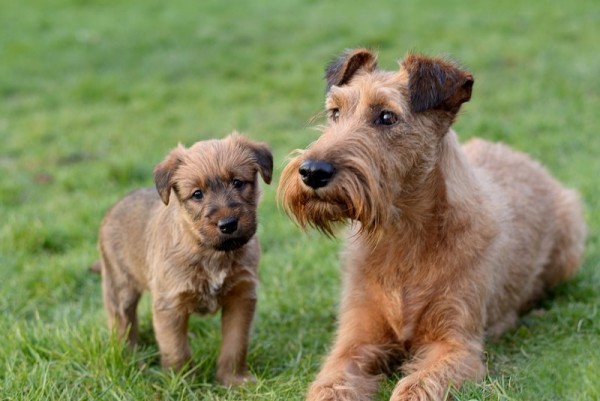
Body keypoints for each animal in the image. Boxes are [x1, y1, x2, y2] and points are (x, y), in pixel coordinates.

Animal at [98, 133, 272, 386]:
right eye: (197, 194)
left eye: (238, 183)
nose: (228, 224)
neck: (212, 253)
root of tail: (114, 206)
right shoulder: (171, 304)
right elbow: (176, 349)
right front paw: (182, 382)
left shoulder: (241, 296)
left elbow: (235, 344)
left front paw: (233, 379)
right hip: (120, 288)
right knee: (123, 326)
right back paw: (131, 361)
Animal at [278, 50, 584, 400]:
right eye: (335, 112)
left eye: (387, 117)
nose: (312, 172)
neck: (402, 239)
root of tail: (525, 159)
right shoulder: (355, 341)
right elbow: (332, 383)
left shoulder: (455, 345)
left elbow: (416, 387)